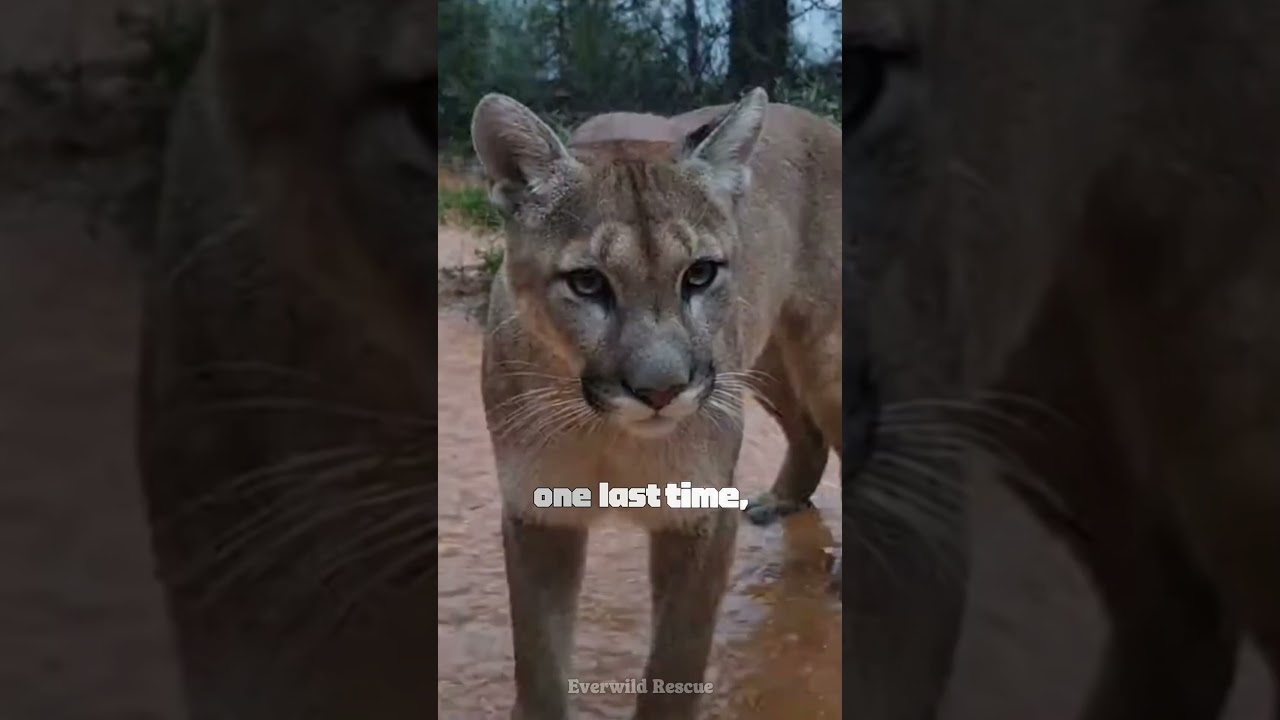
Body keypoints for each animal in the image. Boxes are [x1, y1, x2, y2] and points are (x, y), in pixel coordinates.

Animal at [470, 87, 841, 719]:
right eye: (587, 283)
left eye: (700, 274)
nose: (661, 390)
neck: (607, 434)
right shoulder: (538, 514)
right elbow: (540, 664)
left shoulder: (699, 517)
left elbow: (674, 664)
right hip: (762, 362)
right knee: (809, 431)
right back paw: (782, 500)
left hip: (826, 357)